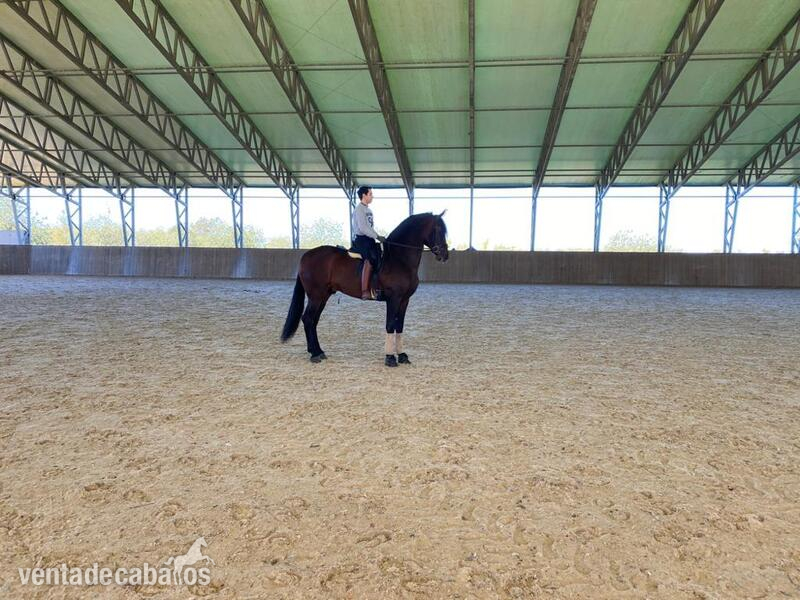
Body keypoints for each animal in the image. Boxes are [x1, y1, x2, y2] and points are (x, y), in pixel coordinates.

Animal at [280, 212, 449, 366]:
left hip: (323, 296)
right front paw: (390, 358)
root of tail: (306, 255)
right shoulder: (393, 299)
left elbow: (399, 326)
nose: (445, 255)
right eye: (438, 230)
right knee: (308, 319)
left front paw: (402, 356)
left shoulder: (404, 300)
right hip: (316, 296)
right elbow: (390, 325)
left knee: (313, 321)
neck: (399, 259)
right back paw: (315, 355)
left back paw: (318, 351)